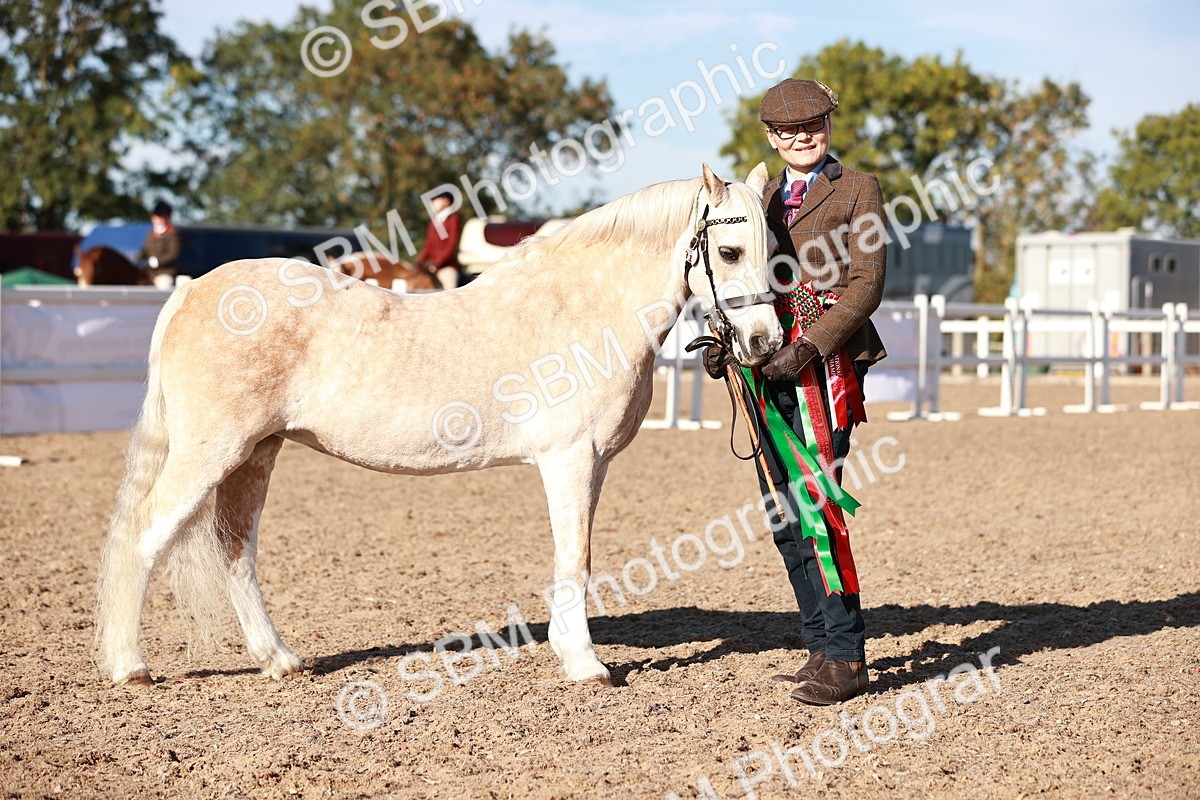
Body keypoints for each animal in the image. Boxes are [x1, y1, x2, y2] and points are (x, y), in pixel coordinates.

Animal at [94, 163, 783, 687]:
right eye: (728, 251)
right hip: (211, 450)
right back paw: (130, 667)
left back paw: (280, 660)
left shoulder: (589, 465)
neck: (580, 307)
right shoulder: (571, 458)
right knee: (143, 536)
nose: (765, 342)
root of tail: (192, 292)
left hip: (256, 452)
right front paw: (586, 665)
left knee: (235, 549)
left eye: (774, 252)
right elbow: (576, 560)